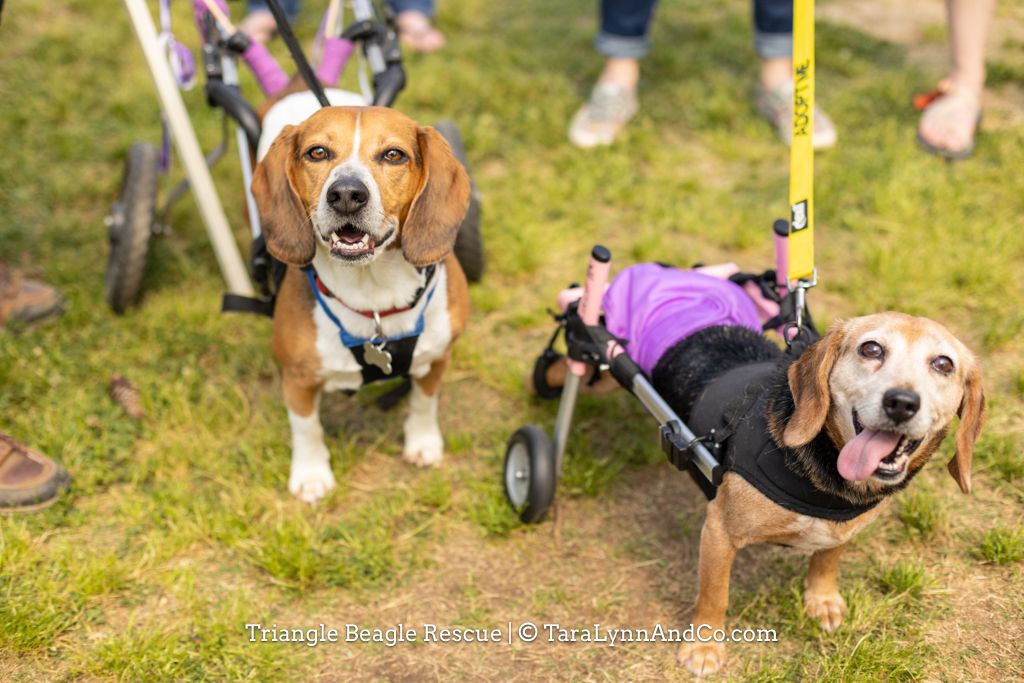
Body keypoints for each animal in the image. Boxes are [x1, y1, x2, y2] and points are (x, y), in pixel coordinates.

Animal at [253, 105, 468, 501]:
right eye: (318, 152)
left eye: (393, 155)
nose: (346, 194)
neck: (375, 297)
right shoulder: (297, 377)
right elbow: (306, 427)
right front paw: (311, 474)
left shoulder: (437, 357)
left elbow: (424, 402)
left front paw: (423, 442)